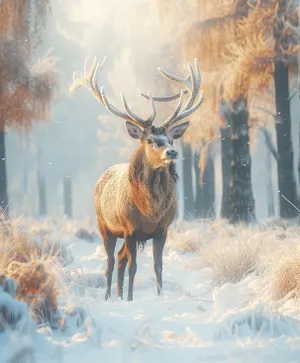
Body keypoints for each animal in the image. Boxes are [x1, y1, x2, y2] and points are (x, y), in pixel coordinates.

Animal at [69, 57, 203, 302]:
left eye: (170, 139)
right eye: (150, 140)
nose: (172, 152)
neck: (150, 211)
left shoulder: (162, 229)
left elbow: (158, 266)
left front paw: (159, 296)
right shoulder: (130, 228)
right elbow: (133, 266)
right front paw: (131, 299)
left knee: (120, 258)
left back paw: (119, 294)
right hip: (104, 226)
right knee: (111, 262)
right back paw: (109, 296)